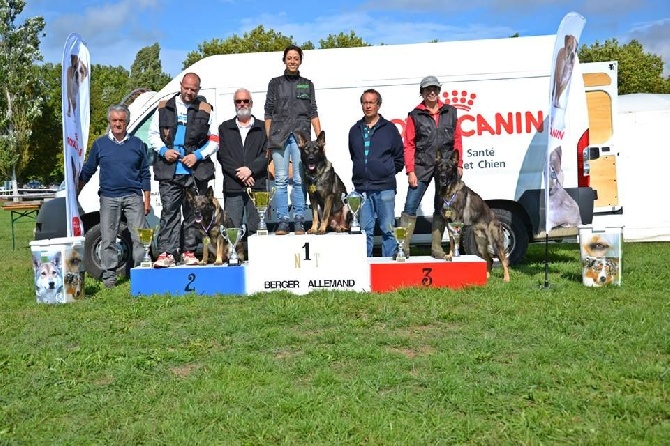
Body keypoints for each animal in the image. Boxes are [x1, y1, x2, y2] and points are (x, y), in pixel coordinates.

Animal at [434, 150, 512, 282]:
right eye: (440, 167)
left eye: (449, 168)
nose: (442, 177)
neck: (449, 193)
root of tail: (497, 221)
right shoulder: (449, 223)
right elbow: (451, 242)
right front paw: (450, 255)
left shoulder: (457, 221)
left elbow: (455, 241)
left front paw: (455, 256)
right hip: (480, 245)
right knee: (489, 260)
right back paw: (487, 277)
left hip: (496, 243)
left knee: (504, 260)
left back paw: (506, 279)